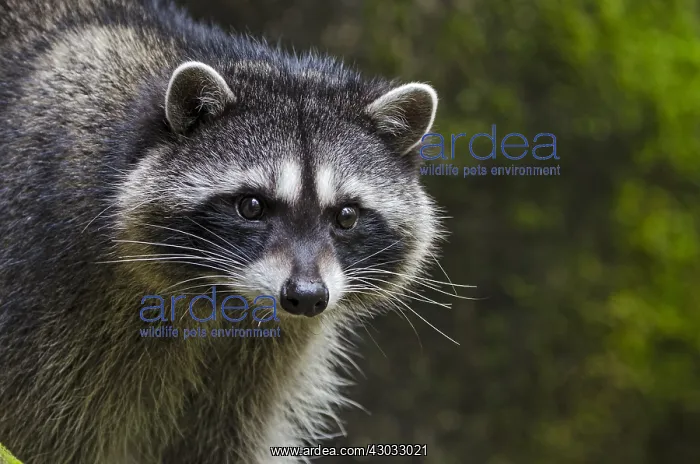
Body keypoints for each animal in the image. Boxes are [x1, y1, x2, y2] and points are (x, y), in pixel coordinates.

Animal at [0, 0, 441, 463]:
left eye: (346, 216)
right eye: (251, 207)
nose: (306, 297)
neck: (222, 299)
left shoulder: (262, 363)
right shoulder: (50, 288)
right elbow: (49, 433)